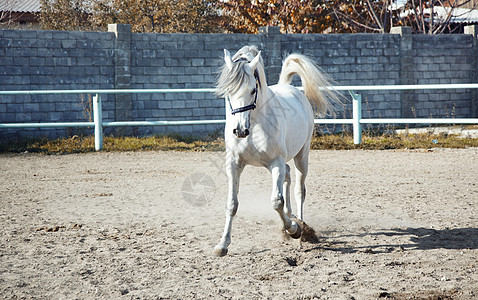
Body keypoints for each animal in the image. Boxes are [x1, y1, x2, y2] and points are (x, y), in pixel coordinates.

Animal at [213, 45, 340, 256]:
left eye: (253, 89)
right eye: (229, 91)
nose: (240, 130)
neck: (255, 123)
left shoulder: (275, 163)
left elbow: (276, 201)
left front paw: (294, 230)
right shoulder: (234, 165)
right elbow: (232, 204)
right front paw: (222, 245)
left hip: (301, 157)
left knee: (299, 189)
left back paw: (301, 226)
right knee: (288, 177)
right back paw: (292, 216)